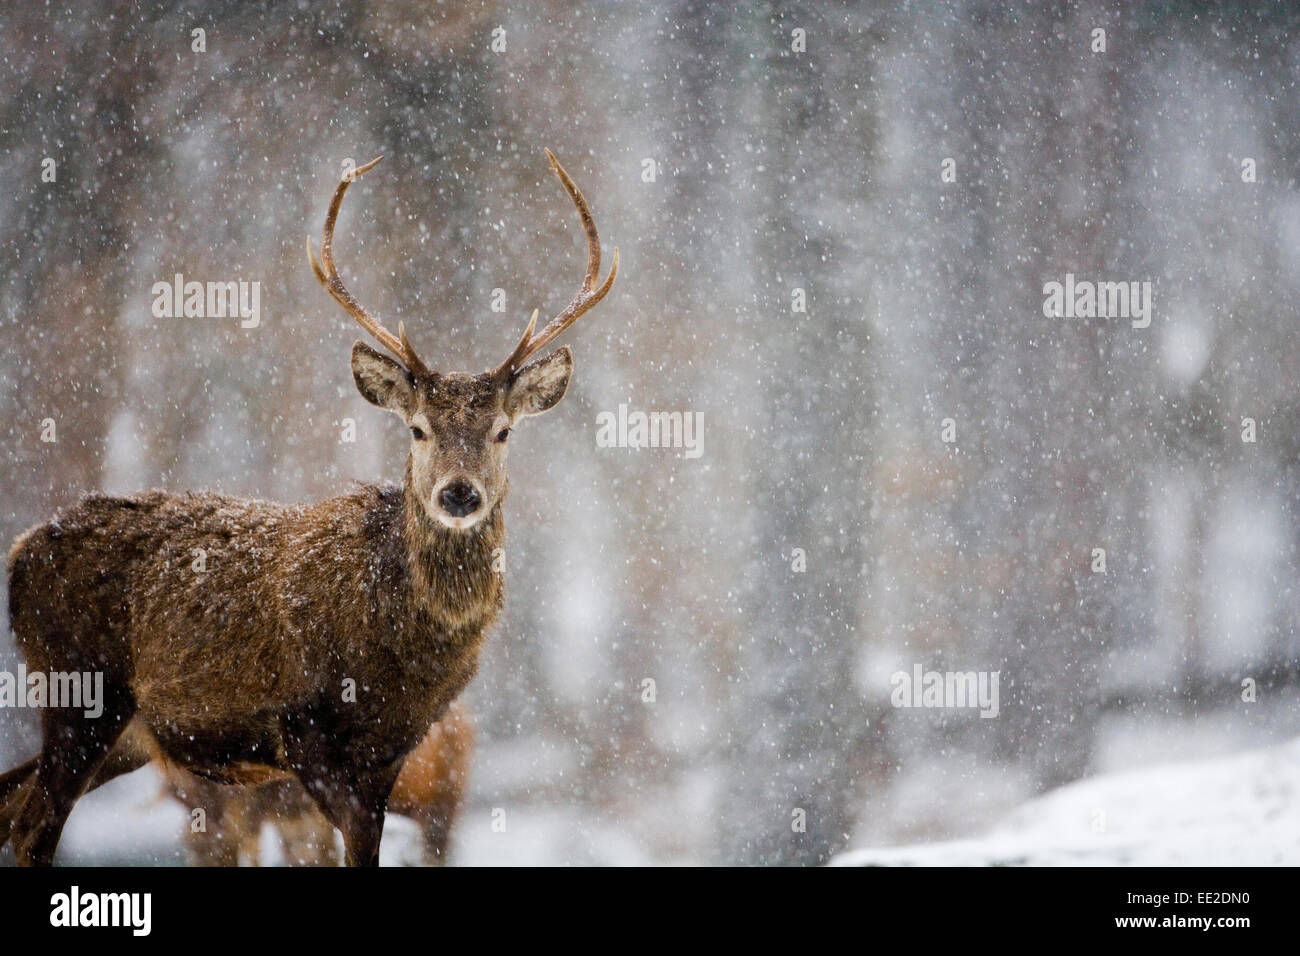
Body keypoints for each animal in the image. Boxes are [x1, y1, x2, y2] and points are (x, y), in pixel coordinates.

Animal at [0, 149, 616, 868]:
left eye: (503, 431)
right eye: (417, 429)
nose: (458, 494)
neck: (400, 650)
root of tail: (19, 553)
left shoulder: (392, 752)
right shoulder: (300, 727)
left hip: (124, 732)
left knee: (13, 806)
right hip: (80, 689)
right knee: (35, 824)